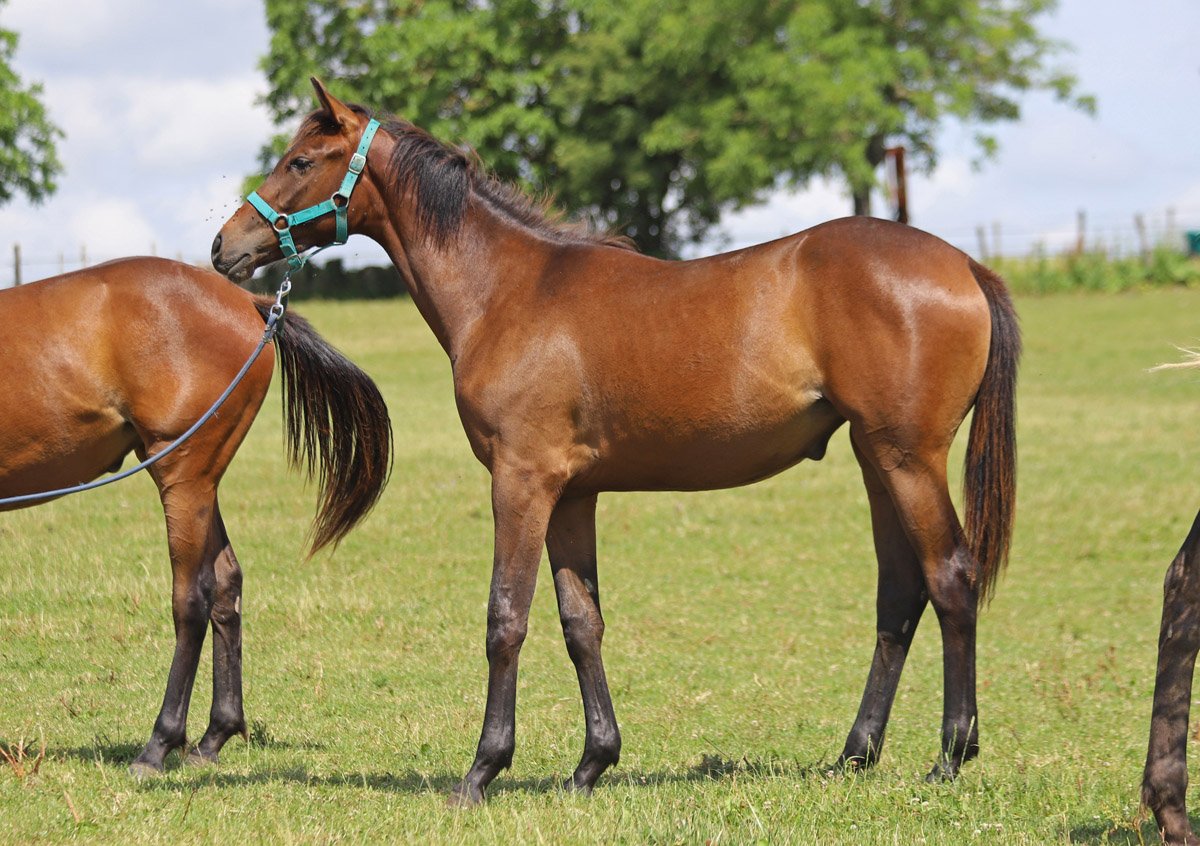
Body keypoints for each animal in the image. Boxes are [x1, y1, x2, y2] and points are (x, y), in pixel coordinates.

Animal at [0, 257, 392, 776]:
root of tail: (253, 305)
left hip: (182, 474)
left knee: (192, 598)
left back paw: (158, 745)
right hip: (200, 482)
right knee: (227, 583)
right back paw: (213, 736)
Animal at [212, 78, 1019, 805]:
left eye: (301, 160)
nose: (226, 246)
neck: (509, 290)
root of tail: (964, 265)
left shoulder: (523, 481)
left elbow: (506, 618)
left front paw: (482, 771)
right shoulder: (573, 494)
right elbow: (581, 622)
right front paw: (591, 765)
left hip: (906, 460)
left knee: (950, 578)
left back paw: (950, 756)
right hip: (876, 460)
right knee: (900, 594)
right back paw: (855, 755)